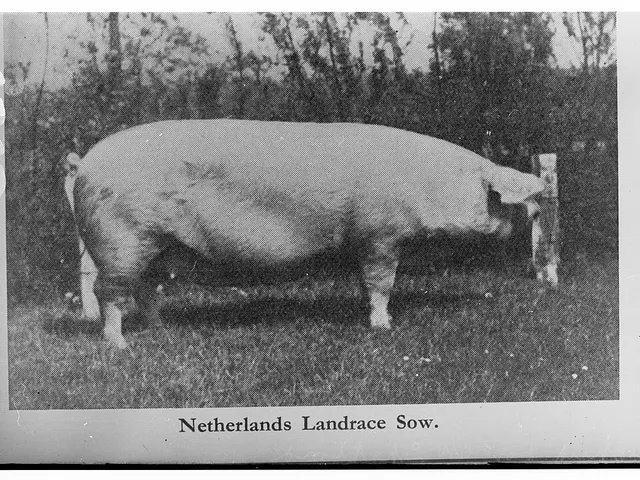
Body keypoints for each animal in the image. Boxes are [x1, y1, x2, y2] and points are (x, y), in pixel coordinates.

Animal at [66, 119, 544, 349]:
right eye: (504, 199)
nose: (534, 211)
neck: (428, 186)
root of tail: (85, 163)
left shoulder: (364, 241)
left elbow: (365, 284)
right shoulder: (380, 235)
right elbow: (381, 284)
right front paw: (384, 327)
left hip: (156, 245)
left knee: (146, 289)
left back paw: (161, 329)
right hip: (119, 239)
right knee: (110, 293)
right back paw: (119, 345)